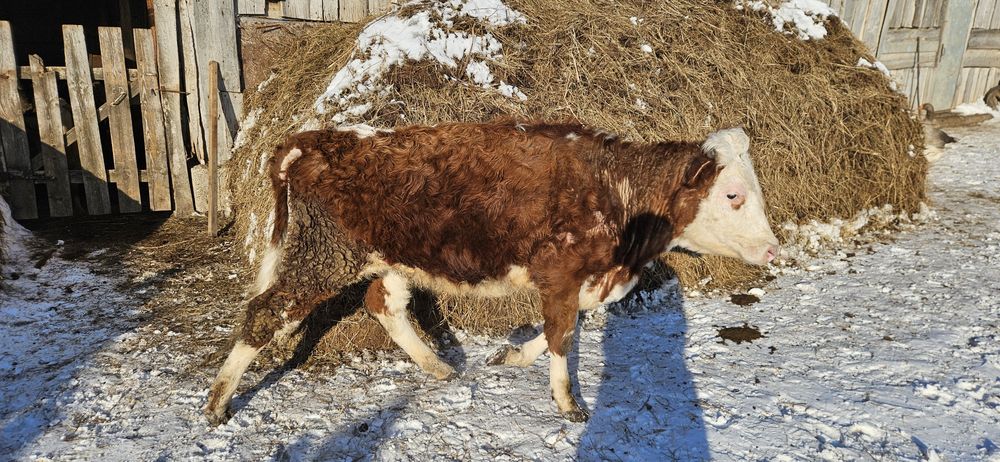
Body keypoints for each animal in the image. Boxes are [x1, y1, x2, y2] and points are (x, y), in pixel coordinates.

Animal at [205, 121, 779, 425]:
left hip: (389, 258)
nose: (774, 249)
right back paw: (217, 402)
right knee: (264, 313)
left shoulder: (577, 277)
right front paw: (568, 402)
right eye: (733, 195)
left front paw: (512, 355)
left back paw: (437, 366)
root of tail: (317, 139)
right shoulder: (561, 271)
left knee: (382, 303)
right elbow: (563, 333)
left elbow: (565, 325)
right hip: (322, 257)